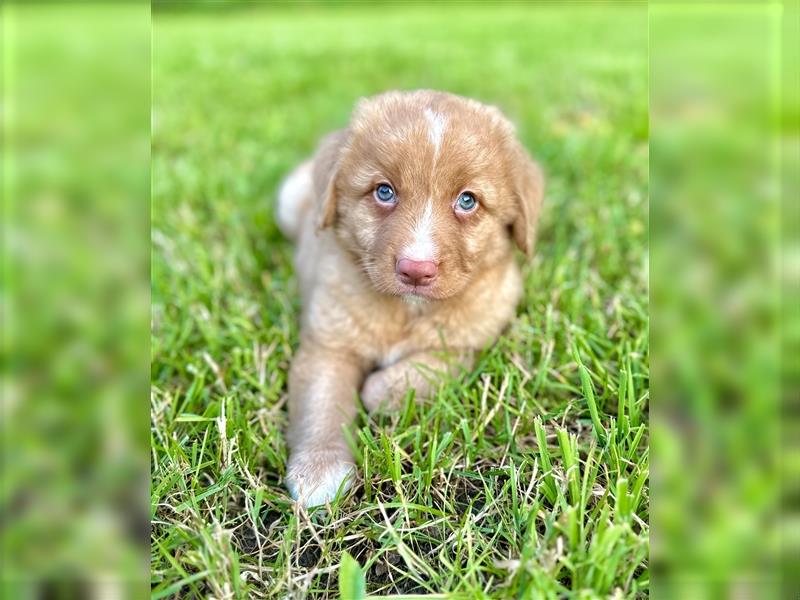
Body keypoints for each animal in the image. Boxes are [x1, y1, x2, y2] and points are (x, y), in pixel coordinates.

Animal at [276, 88, 544, 506]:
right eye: (384, 191)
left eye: (467, 201)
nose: (416, 270)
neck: (408, 311)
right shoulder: (328, 344)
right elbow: (321, 404)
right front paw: (320, 469)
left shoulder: (472, 343)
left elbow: (411, 375)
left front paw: (378, 393)